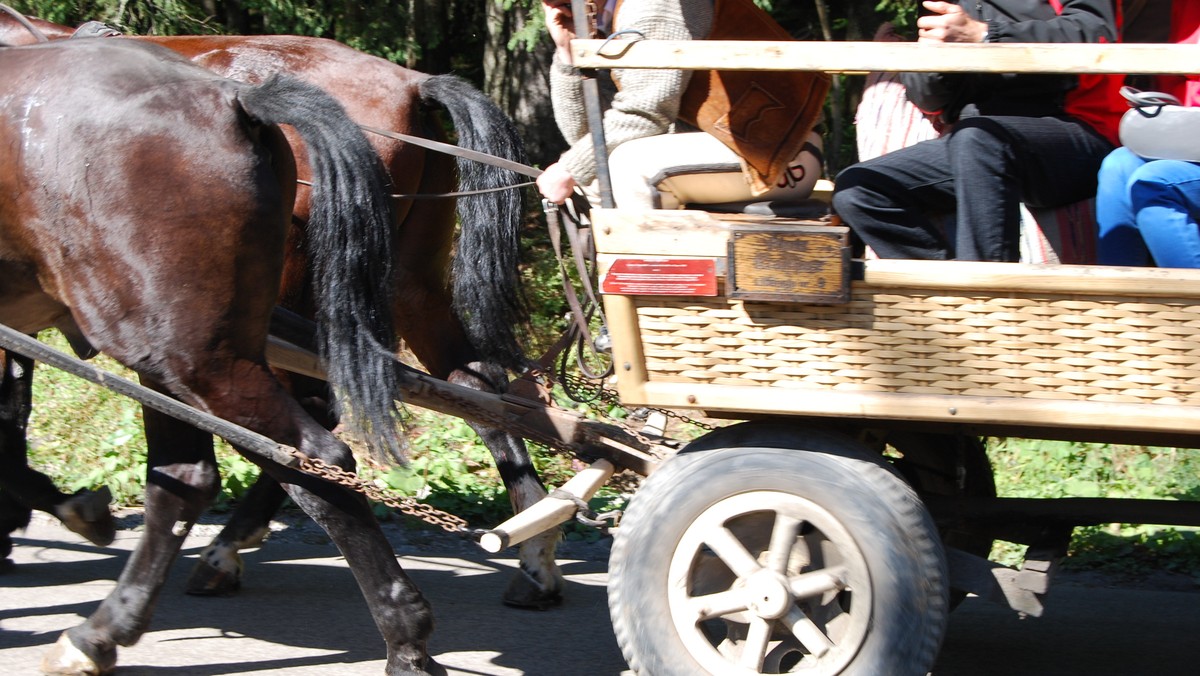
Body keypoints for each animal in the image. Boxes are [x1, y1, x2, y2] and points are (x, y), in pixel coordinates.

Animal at [0, 11, 566, 607]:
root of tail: (410, 83)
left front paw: (51, 510)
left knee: (314, 415)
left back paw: (228, 548)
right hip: (407, 285)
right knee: (475, 386)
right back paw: (534, 550)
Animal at [1, 38, 441, 676]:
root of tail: (236, 101)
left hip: (195, 359)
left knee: (315, 459)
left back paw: (405, 637)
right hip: (174, 359)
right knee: (187, 478)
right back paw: (106, 630)